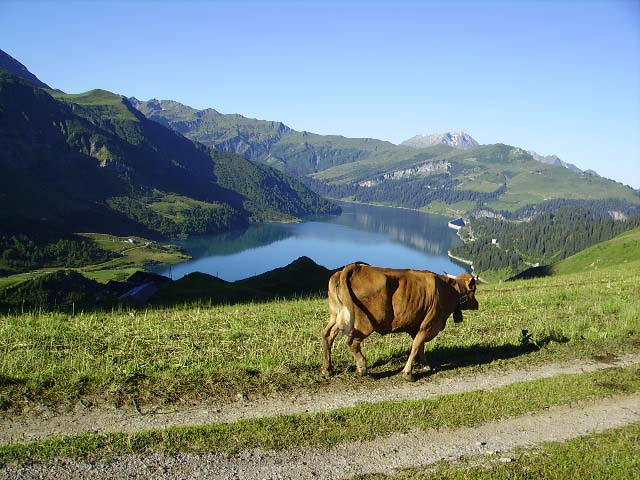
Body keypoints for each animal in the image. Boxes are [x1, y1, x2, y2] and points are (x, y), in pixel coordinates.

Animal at [322, 264, 478, 380]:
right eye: (474, 289)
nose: (477, 304)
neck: (450, 290)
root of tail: (355, 267)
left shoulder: (417, 325)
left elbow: (420, 346)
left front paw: (425, 365)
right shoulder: (429, 324)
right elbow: (416, 346)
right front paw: (408, 373)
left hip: (336, 315)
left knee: (328, 335)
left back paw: (327, 369)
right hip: (364, 323)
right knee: (352, 342)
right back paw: (362, 368)